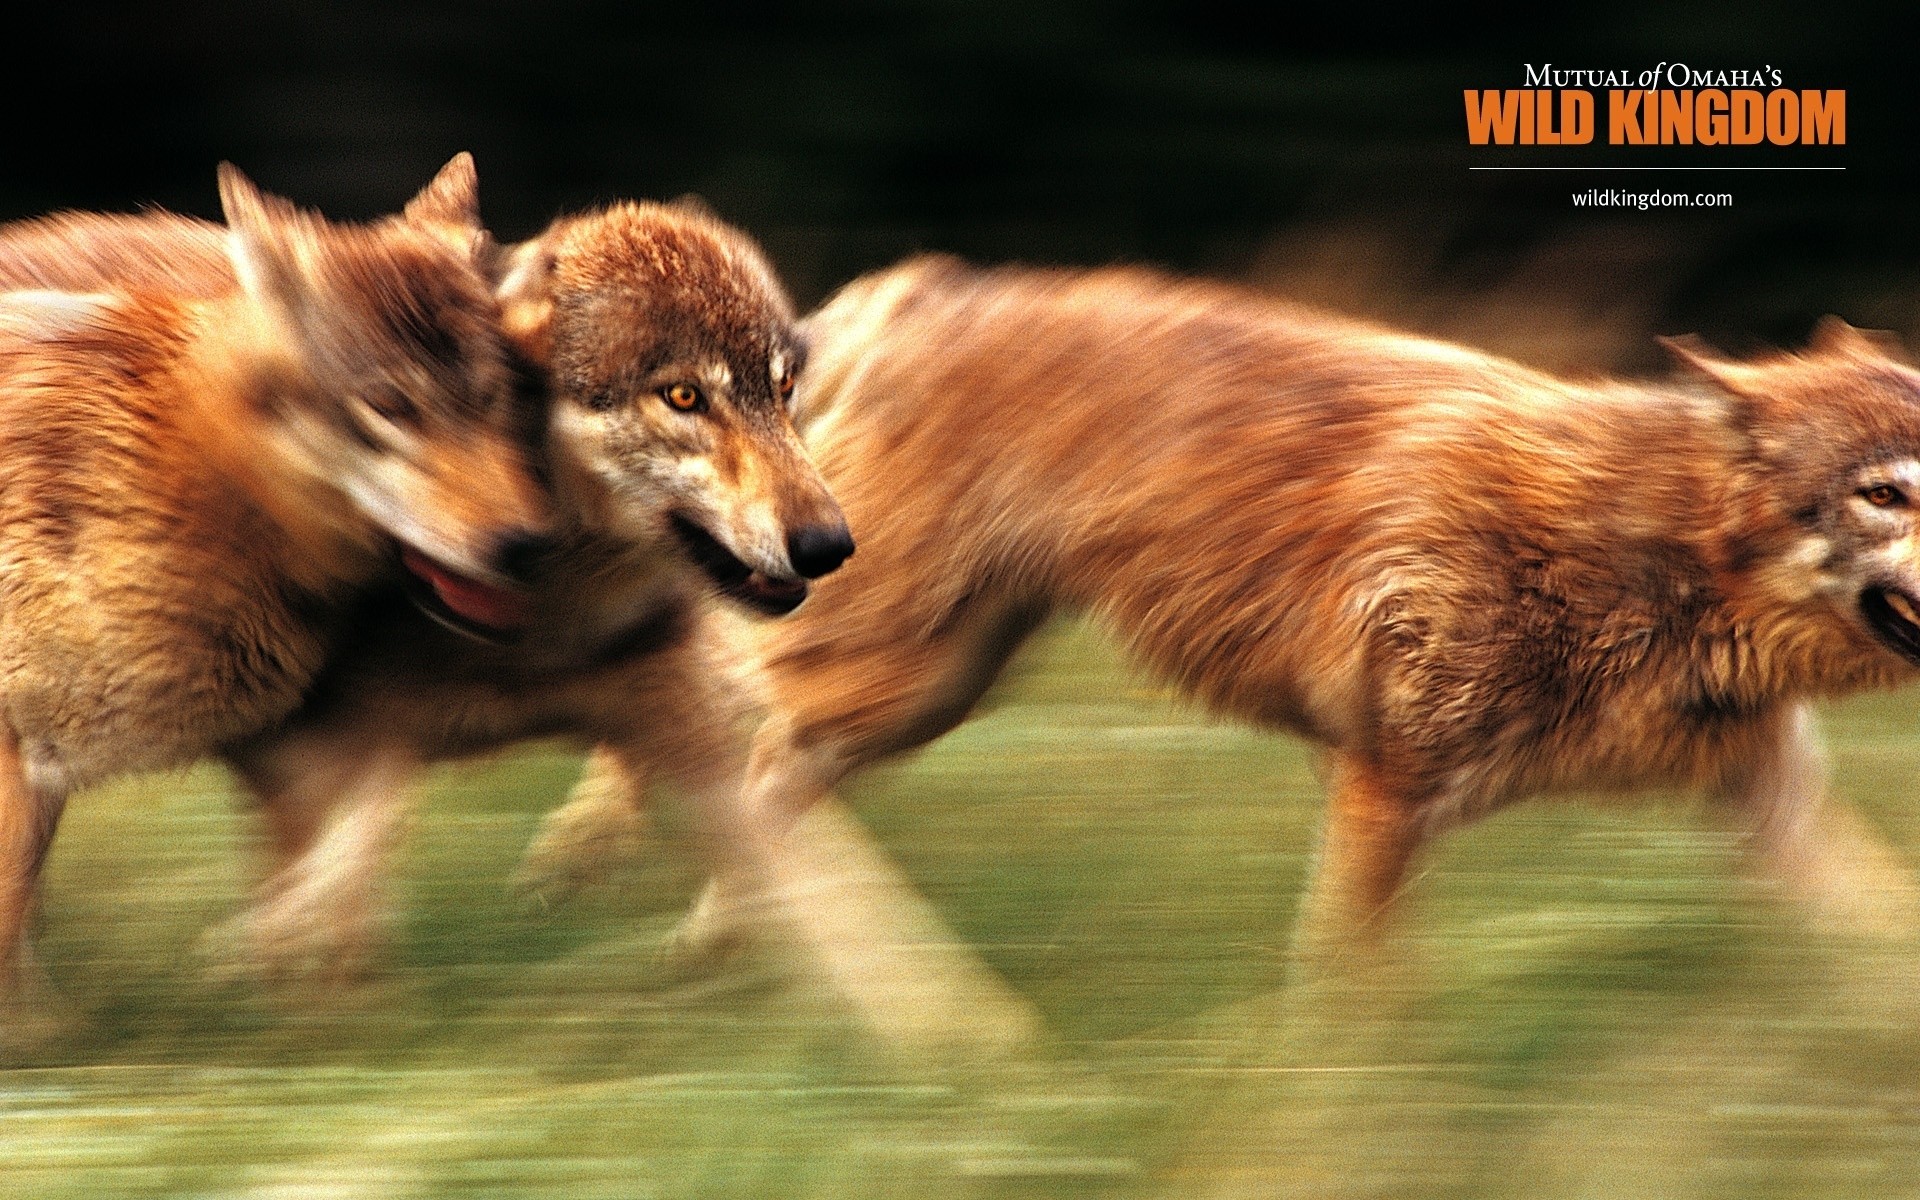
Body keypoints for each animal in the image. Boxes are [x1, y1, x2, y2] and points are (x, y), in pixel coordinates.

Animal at [533, 255, 1920, 1029]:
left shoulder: (1775, 810)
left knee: (761, 772)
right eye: (1888, 493)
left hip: (919, 697)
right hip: (888, 674)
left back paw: (718, 948)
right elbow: (1350, 1009)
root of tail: (917, 285)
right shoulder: (1382, 792)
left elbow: (1884, 947)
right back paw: (594, 864)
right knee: (713, 694)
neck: (1650, 559)